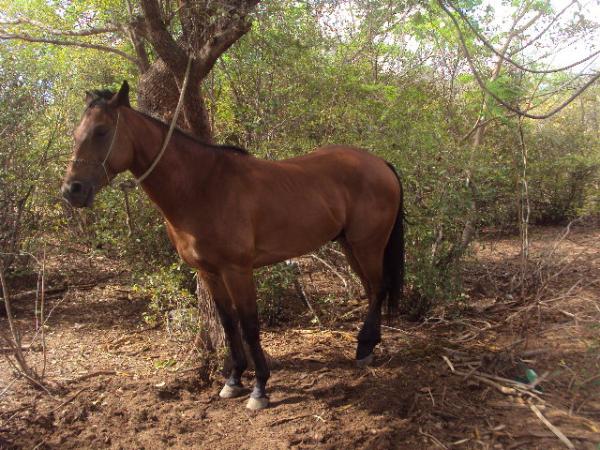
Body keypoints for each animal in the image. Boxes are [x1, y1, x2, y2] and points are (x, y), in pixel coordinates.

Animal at [61, 81, 406, 412]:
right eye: (76, 134)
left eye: (101, 131)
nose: (72, 191)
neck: (201, 187)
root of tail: (380, 163)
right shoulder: (210, 272)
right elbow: (228, 323)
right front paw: (234, 380)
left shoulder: (237, 270)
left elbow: (249, 325)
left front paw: (260, 388)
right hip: (350, 245)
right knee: (371, 289)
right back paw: (368, 346)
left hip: (367, 244)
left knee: (378, 288)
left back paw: (364, 347)